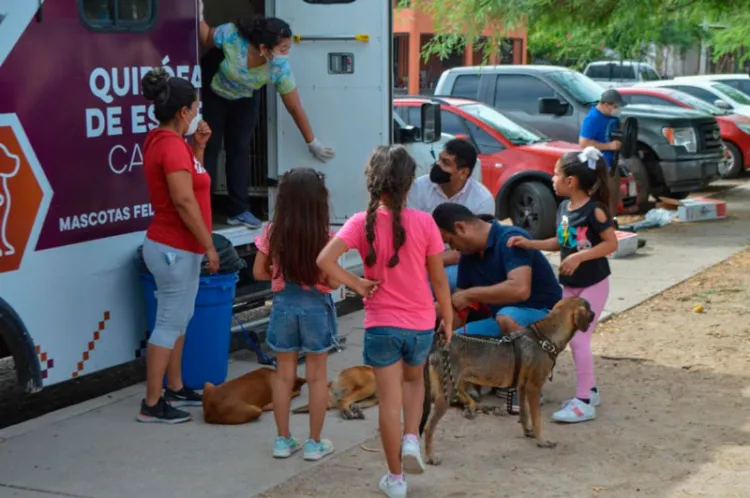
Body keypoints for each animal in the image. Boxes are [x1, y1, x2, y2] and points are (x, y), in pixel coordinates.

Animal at [420, 296, 596, 462]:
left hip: (456, 384)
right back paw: (430, 456)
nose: (595, 313)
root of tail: (438, 343)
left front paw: (528, 432)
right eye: (588, 307)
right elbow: (537, 419)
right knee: (428, 428)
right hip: (446, 392)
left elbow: (524, 415)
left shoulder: (522, 387)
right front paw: (542, 441)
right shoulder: (533, 388)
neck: (544, 338)